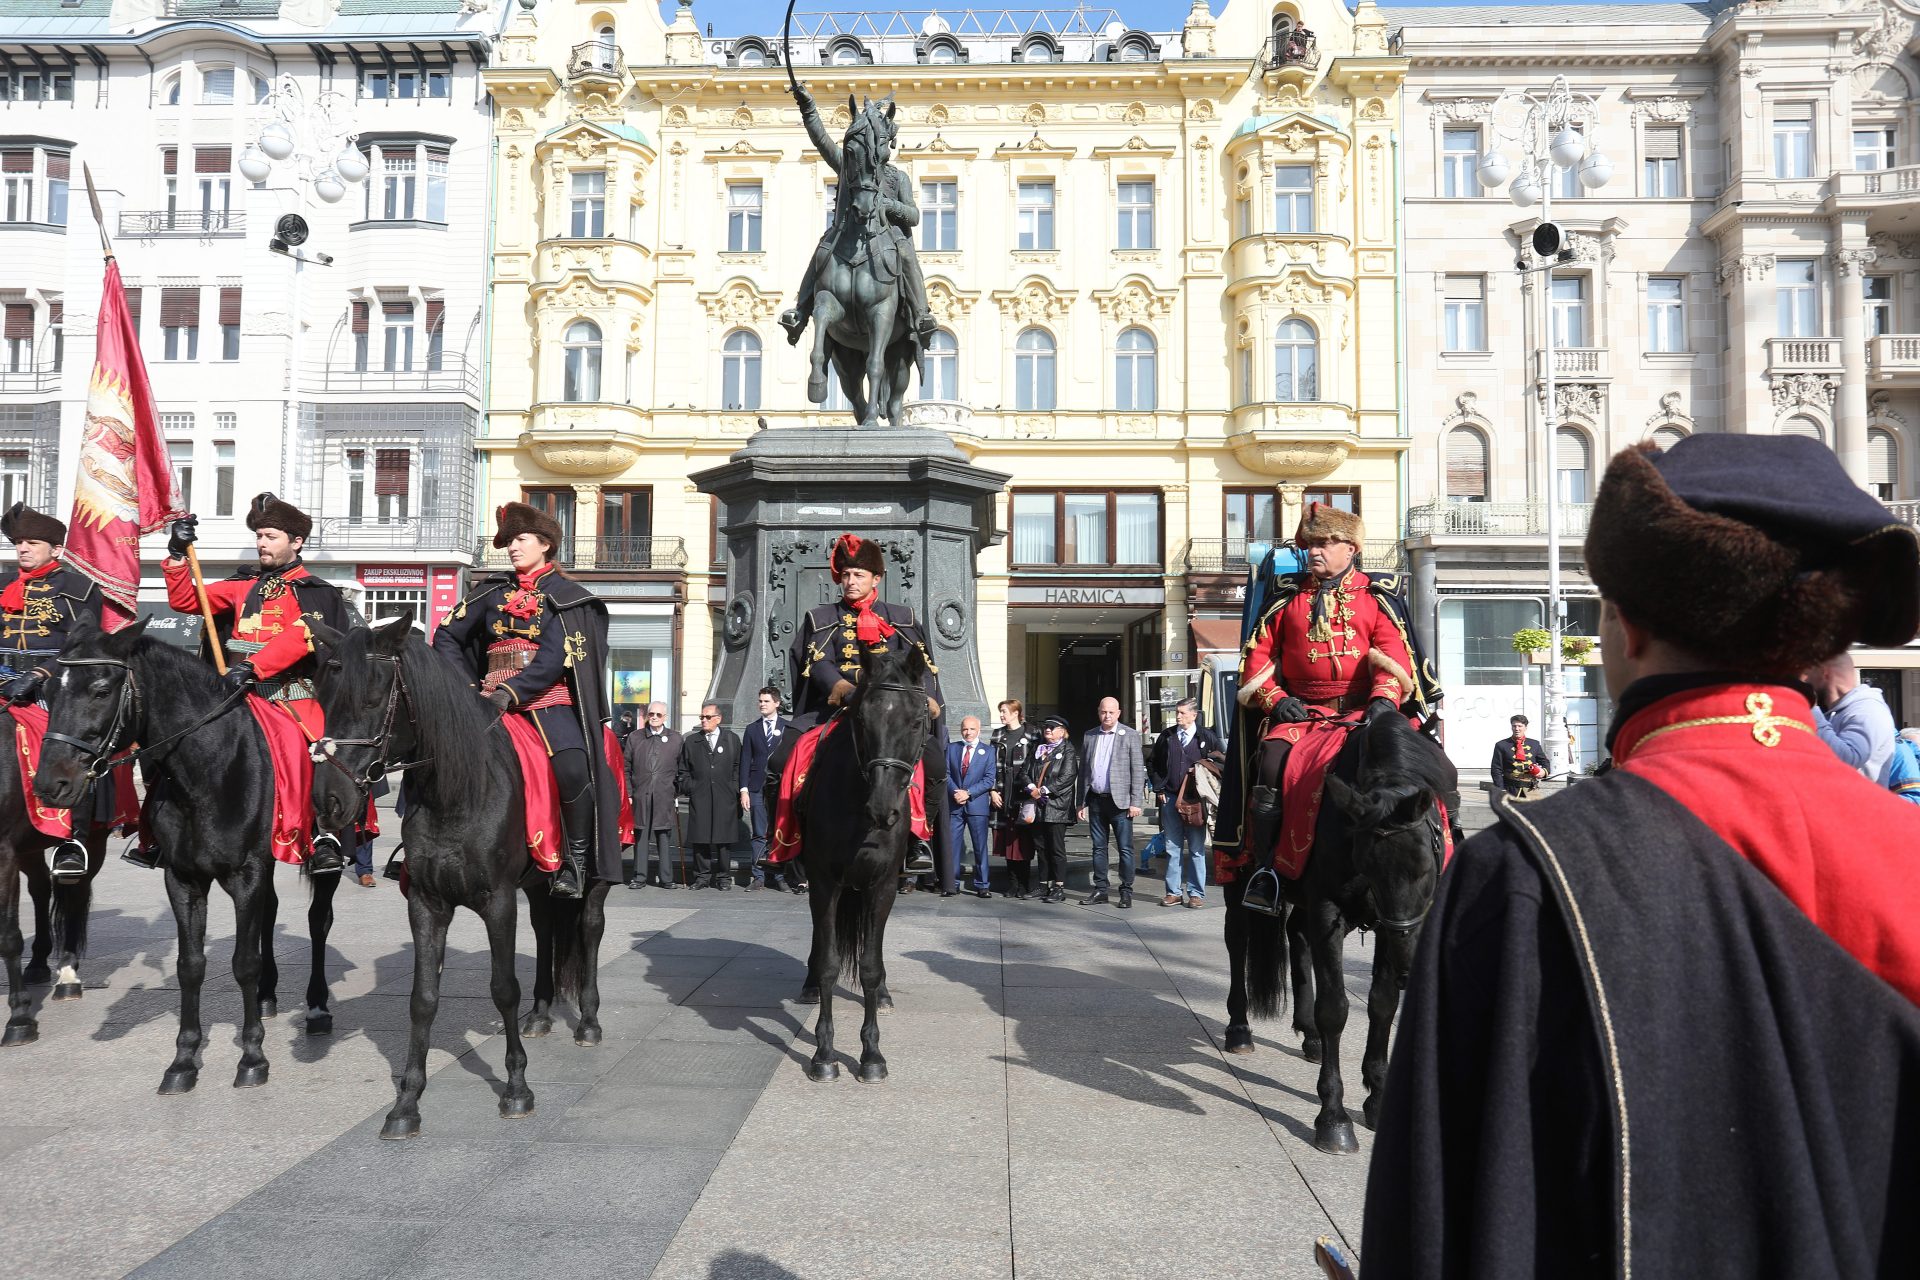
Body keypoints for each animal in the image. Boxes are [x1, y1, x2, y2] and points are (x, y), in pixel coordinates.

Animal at [31, 619, 345, 1092]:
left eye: (101, 689)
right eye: (50, 689)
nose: (50, 784)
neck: (208, 773)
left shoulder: (246, 873)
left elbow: (244, 962)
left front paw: (252, 1056)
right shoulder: (183, 878)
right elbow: (190, 965)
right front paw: (183, 1061)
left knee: (318, 919)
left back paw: (317, 1006)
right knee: (269, 914)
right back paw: (267, 997)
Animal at [308, 612, 605, 1139]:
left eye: (371, 698)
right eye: (322, 698)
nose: (330, 800)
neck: (458, 789)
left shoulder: (498, 899)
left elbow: (503, 988)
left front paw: (516, 1088)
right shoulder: (426, 902)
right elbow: (423, 998)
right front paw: (406, 1103)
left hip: (599, 873)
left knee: (588, 927)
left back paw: (587, 1020)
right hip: (537, 881)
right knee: (547, 928)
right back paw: (541, 1014)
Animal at [796, 642, 929, 1084]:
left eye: (917, 721)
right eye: (862, 718)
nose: (883, 809)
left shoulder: (882, 885)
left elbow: (869, 965)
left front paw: (871, 1054)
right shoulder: (824, 881)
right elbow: (828, 963)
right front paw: (823, 1054)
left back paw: (884, 993)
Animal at [1221, 710, 1458, 1154]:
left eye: (1424, 866)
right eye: (1368, 865)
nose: (1408, 966)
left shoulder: (1387, 925)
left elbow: (1382, 1003)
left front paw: (1378, 1098)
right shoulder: (1330, 907)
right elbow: (1335, 1009)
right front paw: (1333, 1117)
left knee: (1297, 937)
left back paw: (1310, 1037)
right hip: (1236, 864)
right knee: (1237, 939)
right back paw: (1239, 1028)